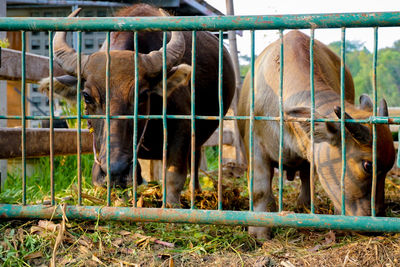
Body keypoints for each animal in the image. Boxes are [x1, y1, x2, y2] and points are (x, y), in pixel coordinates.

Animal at [40, 4, 234, 206]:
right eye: (86, 96)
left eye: (142, 95)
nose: (115, 171)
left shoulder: (182, 127)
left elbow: (174, 177)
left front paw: (171, 205)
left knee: (195, 161)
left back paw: (195, 192)